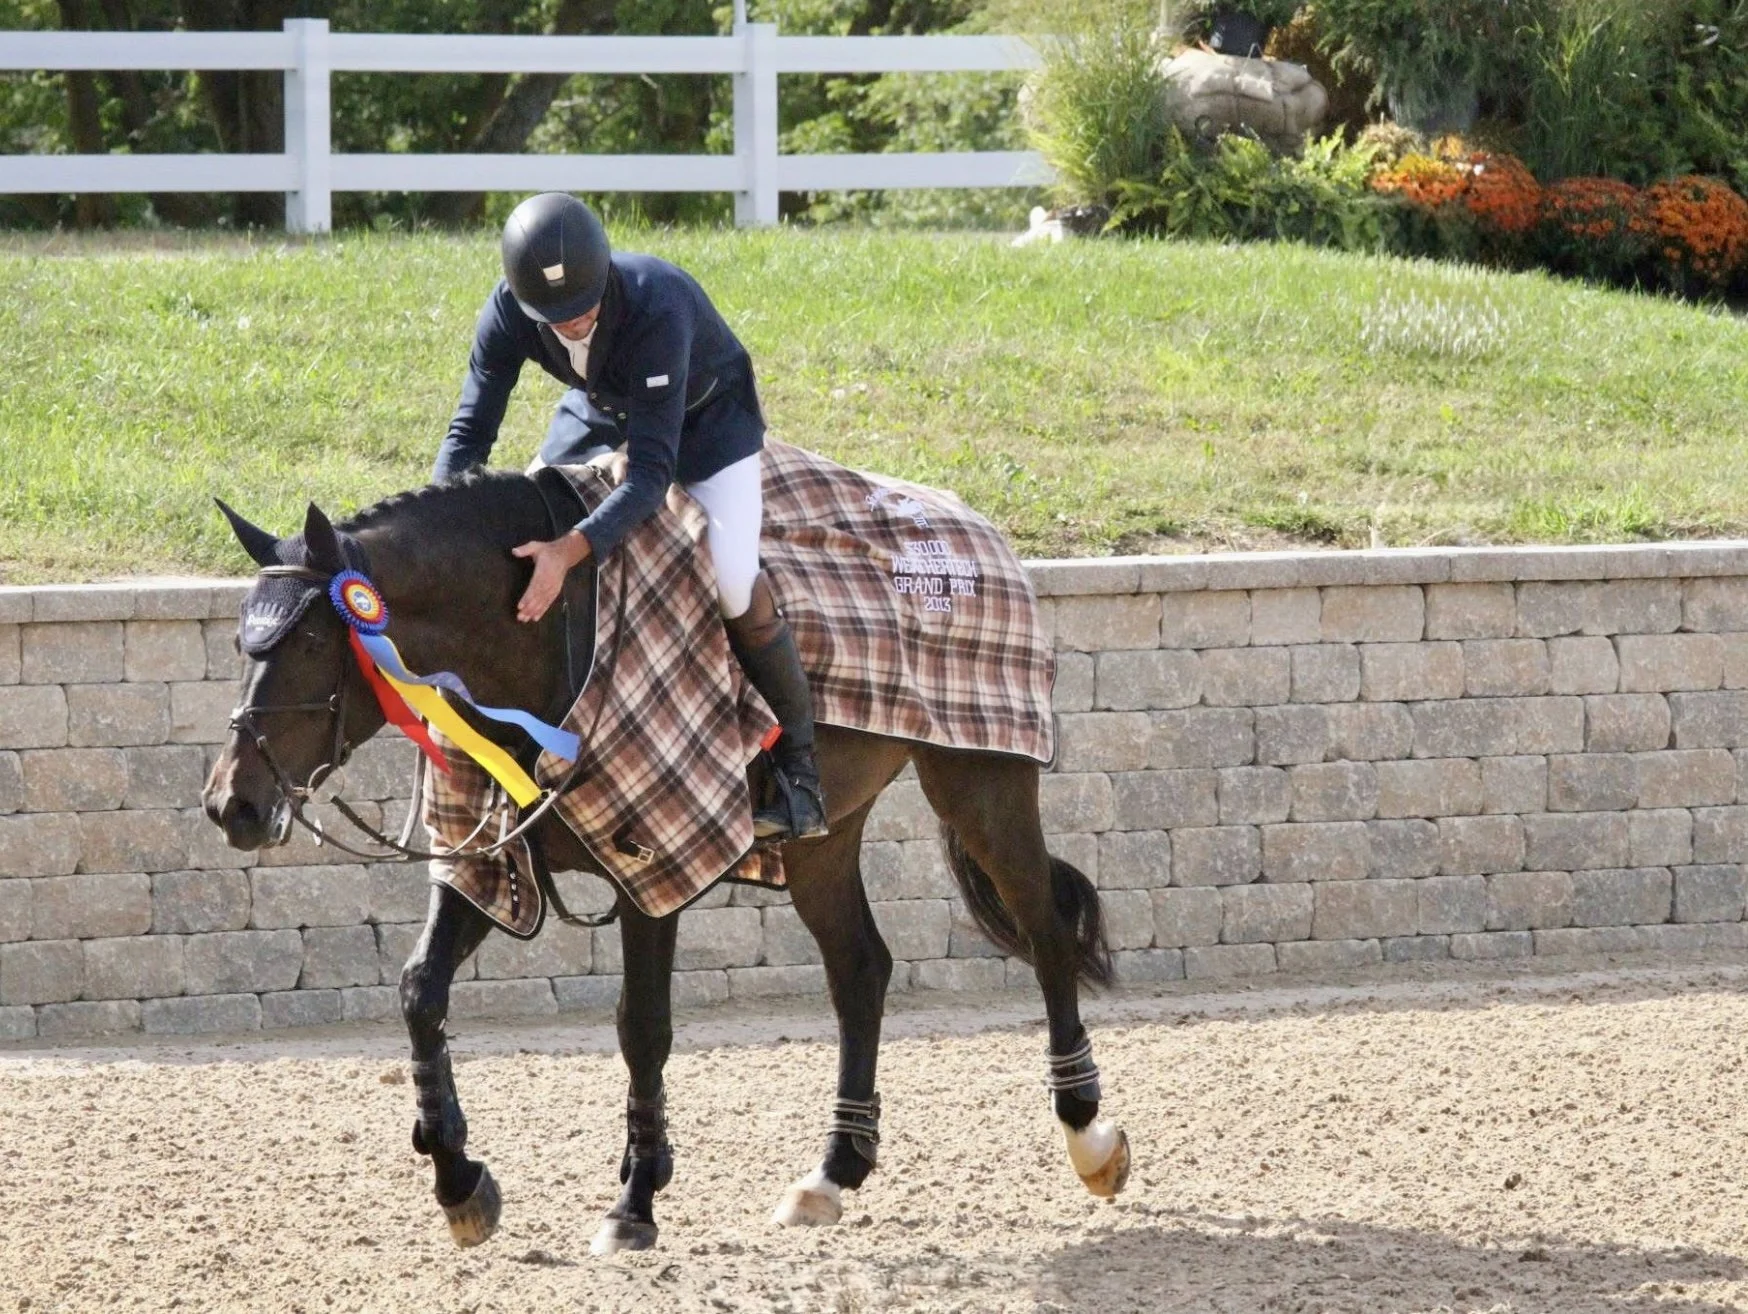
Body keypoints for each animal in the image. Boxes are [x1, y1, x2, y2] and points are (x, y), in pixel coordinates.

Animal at [200, 469, 1130, 1255]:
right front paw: (458, 1178)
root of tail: (982, 533)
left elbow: (642, 1027)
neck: (545, 643)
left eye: (309, 645)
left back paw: (1088, 1131)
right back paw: (832, 1173)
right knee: (861, 969)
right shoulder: (489, 861)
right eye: (246, 648)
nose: (231, 804)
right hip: (827, 838)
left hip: (980, 779)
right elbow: (420, 992)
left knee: (1046, 934)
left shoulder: (651, 865)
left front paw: (634, 1201)